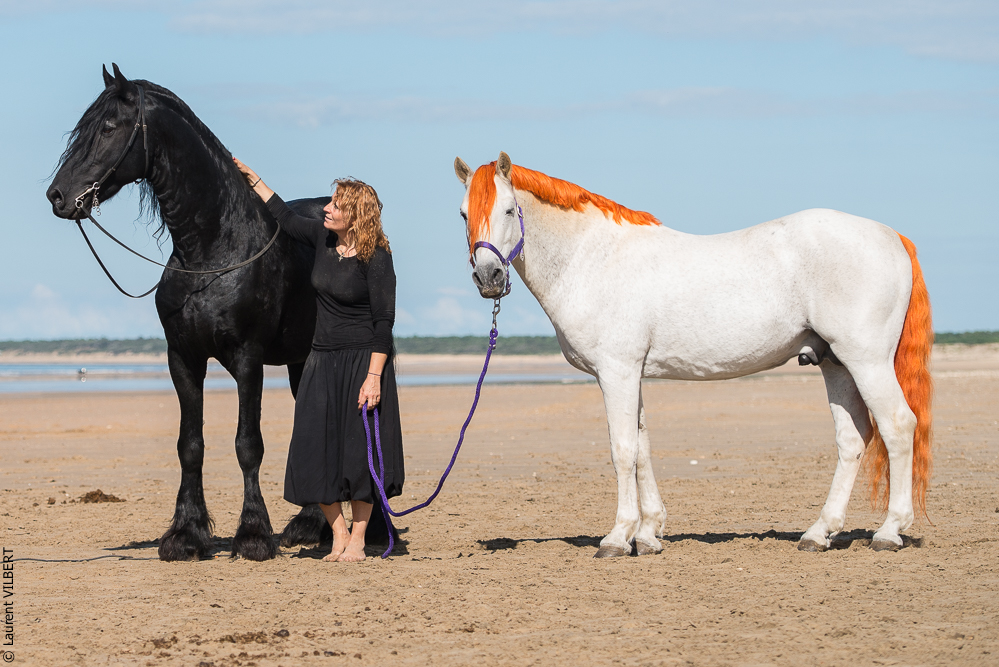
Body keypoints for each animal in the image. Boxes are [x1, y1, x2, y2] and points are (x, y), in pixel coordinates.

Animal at [45, 64, 391, 560]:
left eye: (108, 127)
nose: (57, 195)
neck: (212, 250)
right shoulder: (183, 358)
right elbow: (190, 445)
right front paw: (185, 535)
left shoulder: (247, 359)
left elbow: (248, 445)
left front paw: (253, 535)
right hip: (301, 361)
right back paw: (309, 527)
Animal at [453, 152, 933, 557]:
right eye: (463, 213)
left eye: (509, 210)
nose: (488, 277)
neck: (593, 258)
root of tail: (893, 237)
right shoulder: (633, 375)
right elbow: (643, 448)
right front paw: (648, 535)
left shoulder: (617, 372)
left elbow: (623, 449)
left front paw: (617, 538)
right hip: (835, 364)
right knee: (853, 439)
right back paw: (819, 533)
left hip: (866, 361)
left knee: (897, 426)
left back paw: (889, 531)